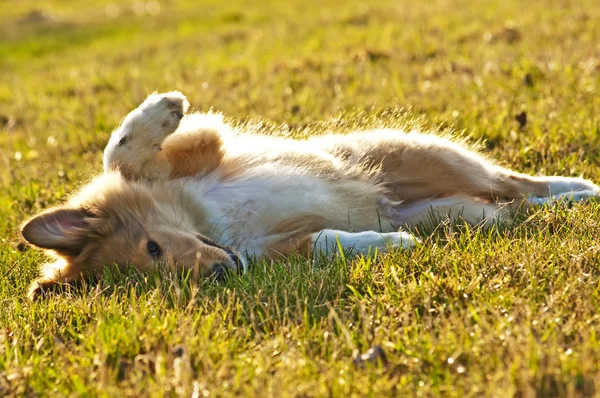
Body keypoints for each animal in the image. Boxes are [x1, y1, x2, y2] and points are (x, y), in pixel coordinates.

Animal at [19, 92, 600, 298]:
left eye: (153, 248)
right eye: (165, 279)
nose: (222, 273)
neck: (214, 228)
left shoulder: (197, 153)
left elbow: (119, 155)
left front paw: (165, 107)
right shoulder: (274, 251)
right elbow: (325, 241)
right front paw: (390, 246)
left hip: (424, 157)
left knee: (513, 181)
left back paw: (581, 189)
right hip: (459, 214)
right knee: (515, 206)